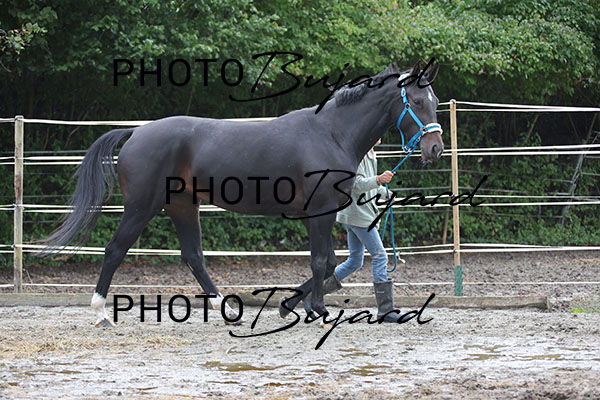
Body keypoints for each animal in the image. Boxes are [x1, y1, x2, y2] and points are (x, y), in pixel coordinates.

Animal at [40, 60, 444, 327]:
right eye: (417, 102)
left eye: (435, 101)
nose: (436, 148)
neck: (330, 133)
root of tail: (137, 132)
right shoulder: (321, 211)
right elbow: (321, 262)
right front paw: (315, 310)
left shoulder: (319, 214)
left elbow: (328, 262)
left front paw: (292, 304)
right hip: (142, 207)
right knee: (115, 250)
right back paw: (100, 313)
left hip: (183, 206)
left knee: (193, 256)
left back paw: (228, 308)